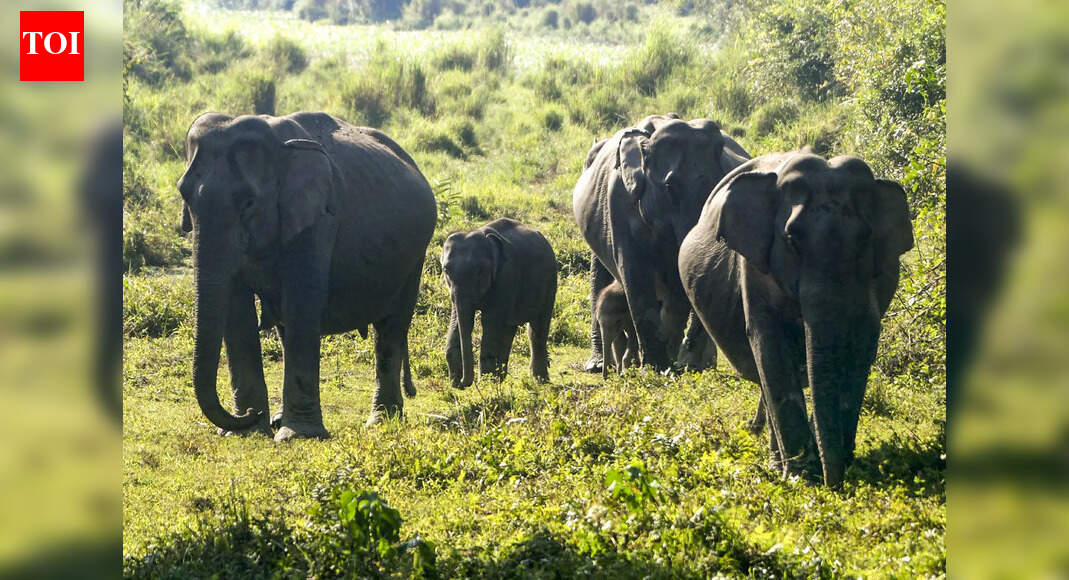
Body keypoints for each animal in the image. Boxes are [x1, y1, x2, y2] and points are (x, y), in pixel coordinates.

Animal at [177, 111, 436, 441]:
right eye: (184, 195)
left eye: (249, 203)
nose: (249, 414)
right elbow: (236, 312)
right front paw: (249, 431)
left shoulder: (319, 217)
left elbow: (301, 302)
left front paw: (295, 435)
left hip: (415, 256)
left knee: (391, 327)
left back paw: (380, 421)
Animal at [441, 218, 557, 387]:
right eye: (446, 270)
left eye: (480, 271)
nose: (461, 382)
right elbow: (459, 320)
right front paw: (456, 381)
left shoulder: (506, 276)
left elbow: (491, 322)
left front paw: (487, 384)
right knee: (509, 328)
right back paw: (501, 379)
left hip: (550, 282)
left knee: (537, 328)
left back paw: (540, 381)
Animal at [573, 113, 748, 373]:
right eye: (669, 186)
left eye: (718, 184)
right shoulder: (618, 204)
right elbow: (634, 274)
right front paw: (654, 367)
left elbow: (677, 284)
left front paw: (666, 364)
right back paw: (601, 364)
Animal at [678, 151, 913, 487]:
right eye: (791, 240)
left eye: (865, 239)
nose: (835, 482)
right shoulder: (755, 271)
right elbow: (770, 346)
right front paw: (803, 477)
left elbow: (863, 345)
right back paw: (779, 463)